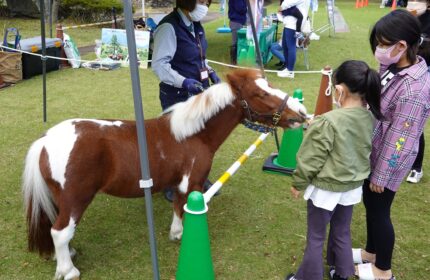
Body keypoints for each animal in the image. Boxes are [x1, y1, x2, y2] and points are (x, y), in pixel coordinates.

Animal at [22, 69, 306, 278]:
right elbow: (182, 208)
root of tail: (46, 140)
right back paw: (69, 271)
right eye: (260, 93)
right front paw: (180, 234)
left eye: (269, 83)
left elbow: (178, 206)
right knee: (60, 232)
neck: (192, 134)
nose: (301, 113)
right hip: (76, 198)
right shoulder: (191, 182)